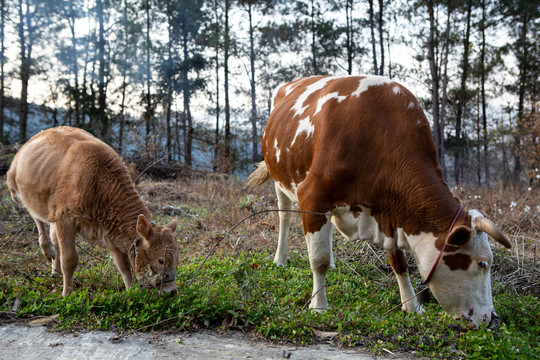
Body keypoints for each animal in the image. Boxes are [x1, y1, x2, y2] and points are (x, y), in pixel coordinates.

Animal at [6, 126, 179, 296]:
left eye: (177, 260)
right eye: (161, 260)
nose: (171, 291)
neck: (98, 181)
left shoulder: (109, 233)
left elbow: (123, 265)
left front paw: (130, 292)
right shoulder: (65, 219)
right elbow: (70, 260)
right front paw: (66, 295)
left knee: (54, 235)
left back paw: (55, 271)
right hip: (15, 191)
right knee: (35, 215)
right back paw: (47, 249)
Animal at [247, 74, 512, 328]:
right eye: (482, 263)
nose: (492, 318)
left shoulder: (392, 212)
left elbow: (399, 262)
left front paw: (412, 307)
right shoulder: (312, 196)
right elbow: (318, 260)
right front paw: (319, 306)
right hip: (280, 178)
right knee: (284, 216)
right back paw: (280, 258)